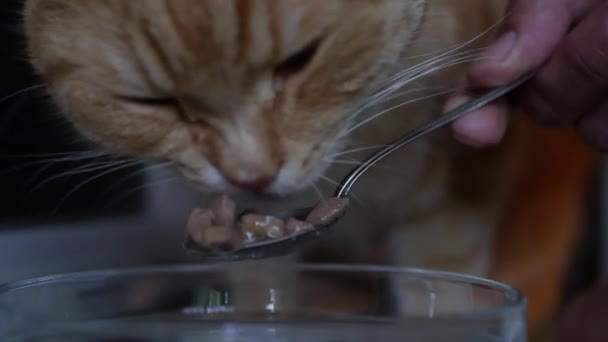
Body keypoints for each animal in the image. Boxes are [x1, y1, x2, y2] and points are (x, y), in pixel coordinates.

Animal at [23, 0, 528, 314]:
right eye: (153, 102)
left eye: (300, 60)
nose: (250, 177)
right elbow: (264, 296)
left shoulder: (452, 198)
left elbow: (441, 291)